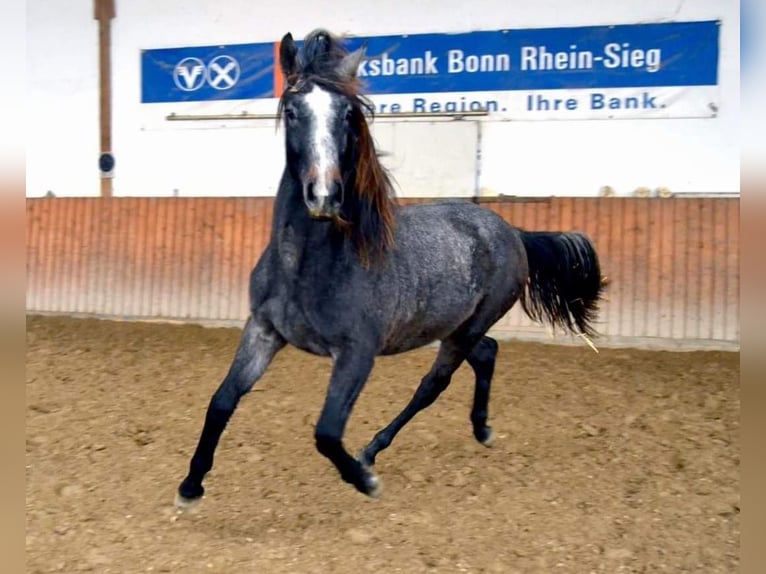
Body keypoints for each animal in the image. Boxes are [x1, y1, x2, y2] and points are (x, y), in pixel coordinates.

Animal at [175, 28, 607, 509]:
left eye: (347, 113)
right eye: (292, 110)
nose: (323, 195)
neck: (306, 269)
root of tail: (511, 231)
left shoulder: (357, 352)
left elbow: (326, 432)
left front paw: (364, 480)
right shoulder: (263, 331)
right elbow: (221, 400)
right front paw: (191, 486)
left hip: (467, 328)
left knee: (433, 384)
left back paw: (372, 451)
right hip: (454, 327)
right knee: (487, 354)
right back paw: (481, 429)